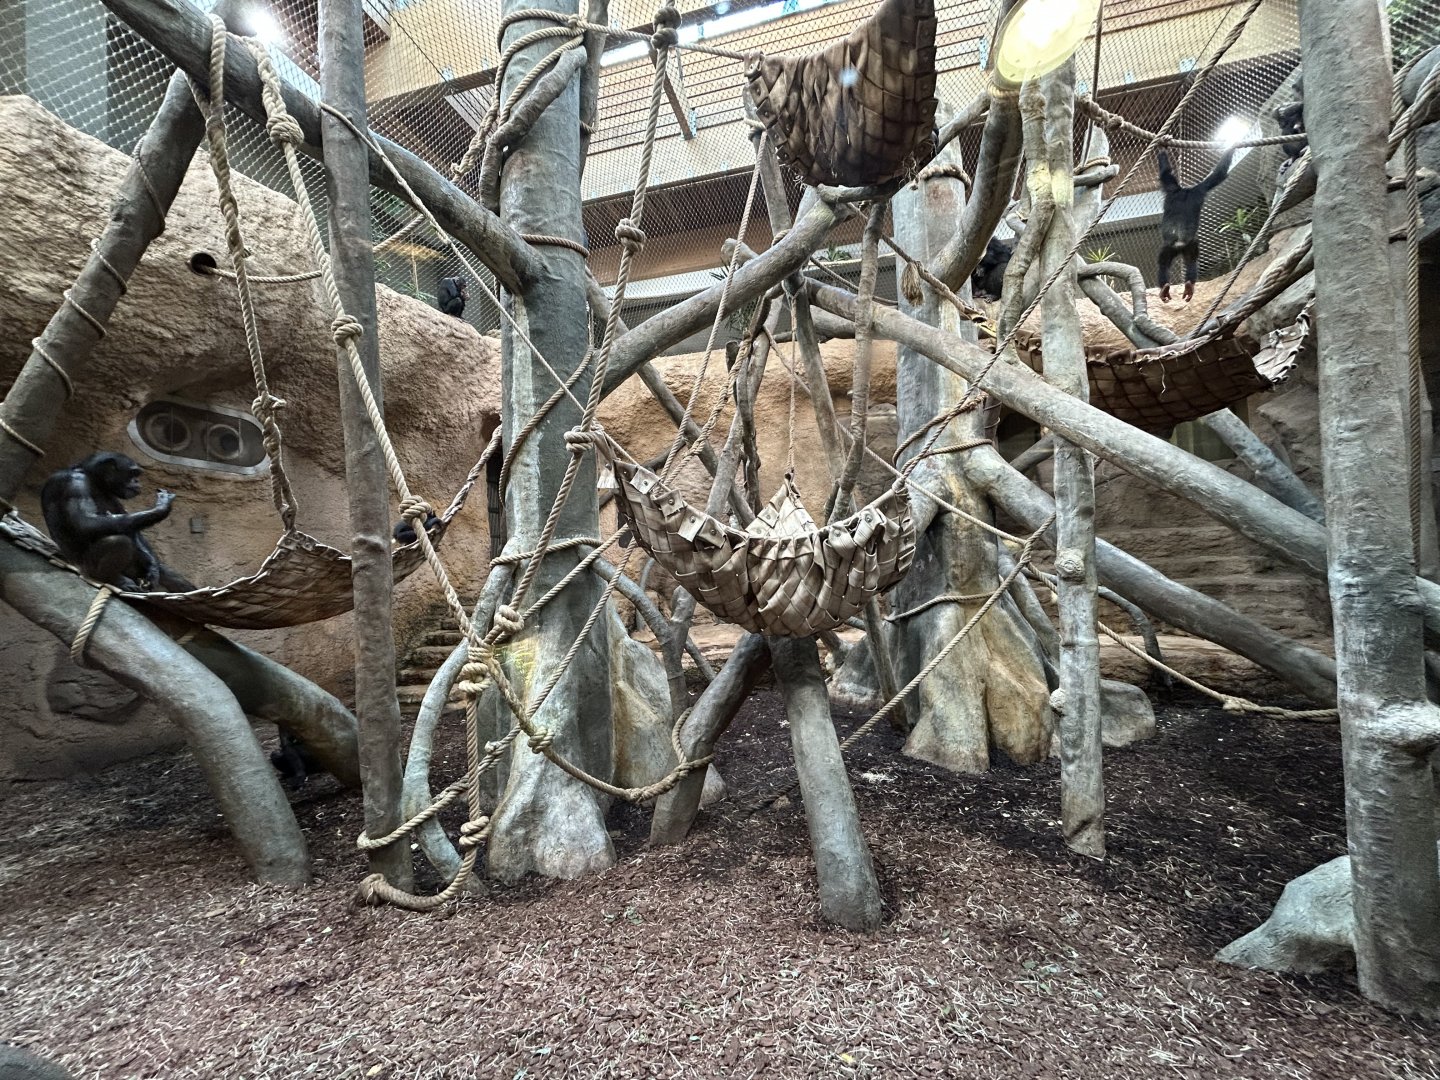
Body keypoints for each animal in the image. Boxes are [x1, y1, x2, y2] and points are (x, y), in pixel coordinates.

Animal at [40, 452, 193, 592]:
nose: (137, 481)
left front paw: (152, 568)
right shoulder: (74, 483)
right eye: (132, 473)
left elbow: (131, 528)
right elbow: (85, 523)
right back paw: (113, 579)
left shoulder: (113, 496)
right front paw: (162, 507)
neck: (95, 481)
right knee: (118, 542)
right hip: (86, 566)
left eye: (136, 474)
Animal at [1156, 148, 1235, 302]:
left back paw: (1168, 289)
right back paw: (1186, 286)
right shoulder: (1198, 189)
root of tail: (1180, 243)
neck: (1185, 191)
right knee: (1190, 262)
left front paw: (1162, 150)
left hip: (1172, 246)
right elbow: (1218, 174)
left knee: (1164, 263)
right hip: (1189, 245)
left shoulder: (1173, 186)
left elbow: (1165, 173)